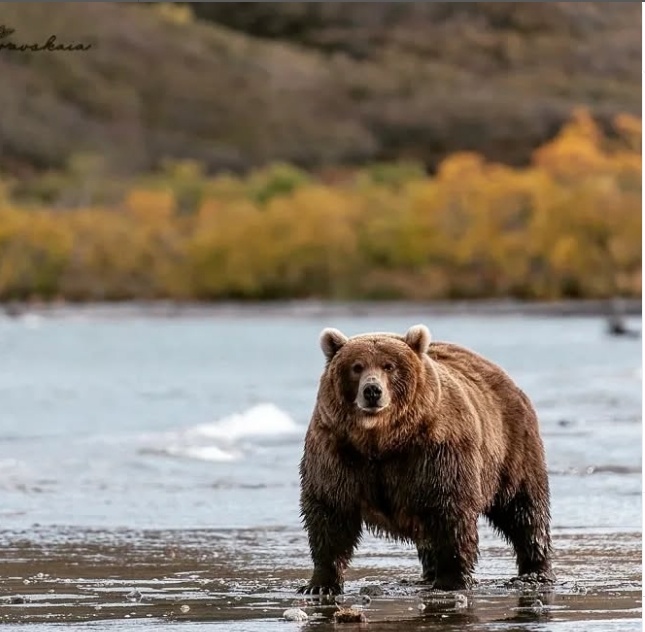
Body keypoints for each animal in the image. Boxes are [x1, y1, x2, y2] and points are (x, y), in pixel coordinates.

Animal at [298, 324, 552, 596]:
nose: (372, 391)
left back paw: (535, 570)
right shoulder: (337, 448)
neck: (381, 439)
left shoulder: (435, 449)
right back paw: (429, 573)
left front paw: (451, 579)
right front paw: (320, 583)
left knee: (523, 509)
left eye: (389, 366)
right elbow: (330, 509)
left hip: (511, 447)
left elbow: (448, 507)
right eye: (356, 366)